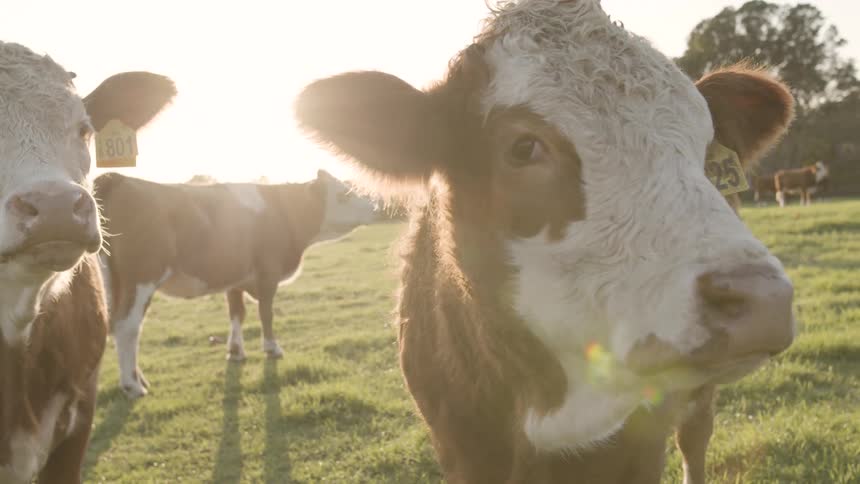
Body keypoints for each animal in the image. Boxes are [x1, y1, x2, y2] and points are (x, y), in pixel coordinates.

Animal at [94, 170, 382, 399]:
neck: (282, 211)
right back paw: (132, 385)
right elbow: (266, 312)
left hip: (113, 282)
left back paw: (138, 379)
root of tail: (120, 178)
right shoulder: (268, 272)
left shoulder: (235, 278)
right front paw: (272, 348)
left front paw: (235, 351)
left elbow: (237, 313)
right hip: (141, 279)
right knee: (128, 327)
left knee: (115, 325)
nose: (375, 208)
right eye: (343, 195)